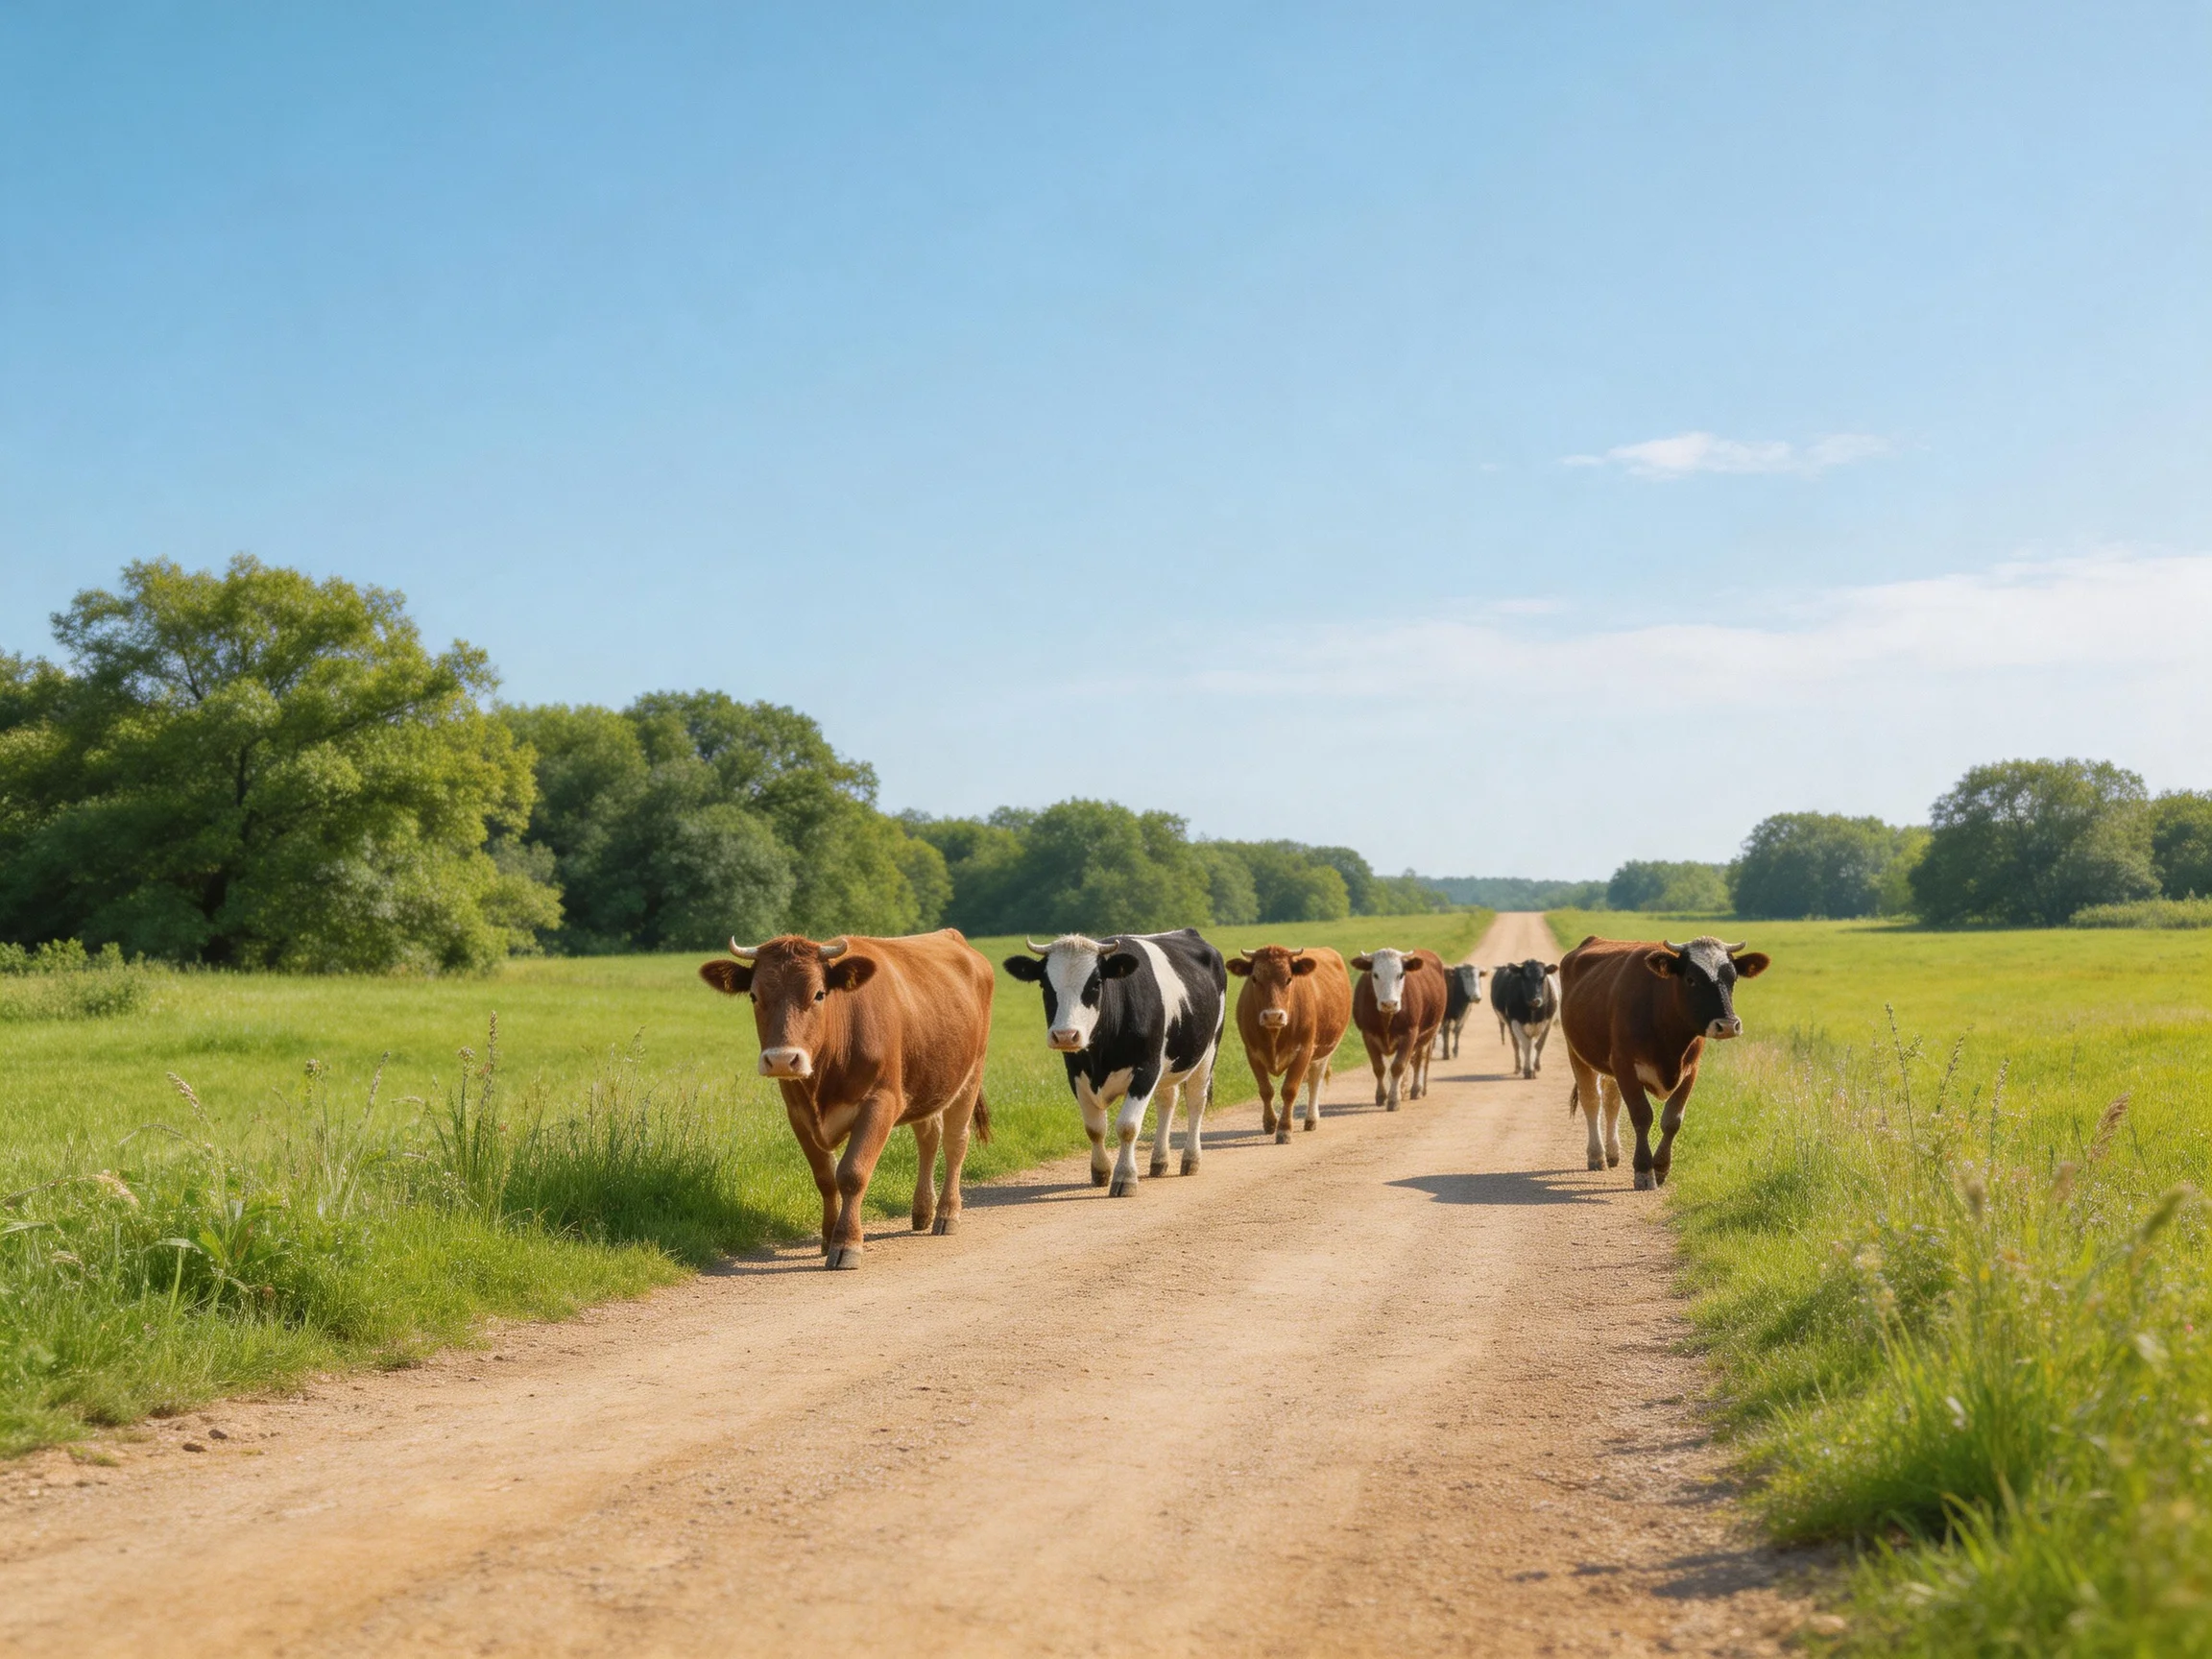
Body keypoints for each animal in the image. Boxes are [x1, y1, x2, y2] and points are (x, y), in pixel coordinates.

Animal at [699, 930, 993, 1269]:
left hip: (972, 1073)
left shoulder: (881, 1102)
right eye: (754, 996)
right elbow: (825, 1177)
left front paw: (846, 1243)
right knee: (929, 1137)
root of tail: (951, 936)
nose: (783, 1060)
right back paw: (922, 1211)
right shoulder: (798, 1114)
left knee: (954, 1142)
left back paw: (947, 1213)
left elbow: (852, 1173)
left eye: (819, 994)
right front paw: (828, 1237)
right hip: (926, 1081)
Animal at [1004, 929, 1226, 1196]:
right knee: (1167, 1102)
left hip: (1208, 1052)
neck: (1100, 1056)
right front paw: (1100, 1172)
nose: (1065, 1035)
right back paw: (1159, 1161)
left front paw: (1125, 1178)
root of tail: (1187, 932)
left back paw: (1190, 1159)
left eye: (1096, 983)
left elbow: (1127, 1126)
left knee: (1195, 1102)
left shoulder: (1146, 1071)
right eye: (1044, 985)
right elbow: (1095, 1128)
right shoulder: (1076, 1073)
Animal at [1227, 945, 1353, 1142]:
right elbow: (1266, 1090)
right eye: (1254, 978)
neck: (1274, 1034)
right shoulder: (1252, 1053)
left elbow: (1289, 1090)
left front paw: (1284, 1129)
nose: (1273, 1016)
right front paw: (1270, 1123)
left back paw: (1311, 1119)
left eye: (1289, 979)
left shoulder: (1304, 1052)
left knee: (1315, 1081)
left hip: (1325, 1052)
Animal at [1349, 947, 1446, 1110]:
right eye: (1375, 974)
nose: (1389, 1003)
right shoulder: (1367, 1034)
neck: (1387, 1017)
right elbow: (1379, 1068)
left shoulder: (1410, 1034)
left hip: (1428, 1034)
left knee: (1419, 1060)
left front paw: (1394, 1099)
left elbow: (1398, 1066)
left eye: (1400, 975)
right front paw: (1382, 1096)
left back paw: (1417, 1089)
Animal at [1557, 934, 1770, 1190]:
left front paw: (1660, 1168)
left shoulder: (1691, 1070)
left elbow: (1672, 1120)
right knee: (1591, 1100)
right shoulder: (1625, 1066)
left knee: (1611, 1101)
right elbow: (1641, 1116)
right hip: (1576, 1053)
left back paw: (1613, 1153)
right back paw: (1597, 1155)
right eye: (1691, 979)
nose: (1728, 1025)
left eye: (1733, 978)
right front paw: (1643, 1170)